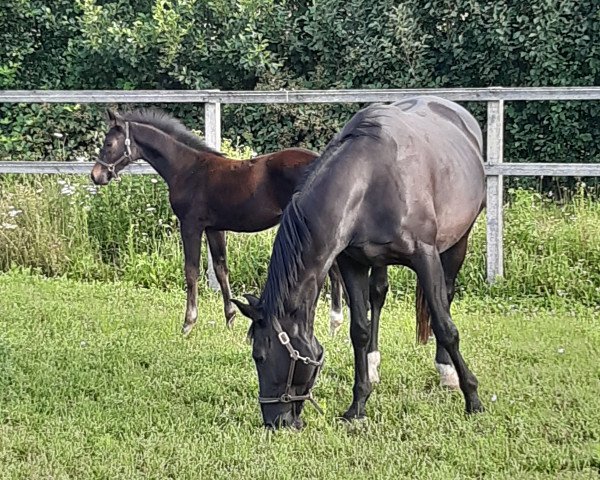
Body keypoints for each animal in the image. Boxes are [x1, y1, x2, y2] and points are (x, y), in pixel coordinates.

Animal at [92, 109, 346, 336]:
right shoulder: (215, 228)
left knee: (332, 268)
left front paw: (188, 324)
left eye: (108, 144)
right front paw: (230, 318)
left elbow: (191, 270)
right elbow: (221, 268)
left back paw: (334, 323)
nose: (96, 176)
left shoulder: (191, 225)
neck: (186, 169)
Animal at [234, 96, 488, 428]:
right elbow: (359, 330)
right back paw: (374, 364)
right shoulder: (352, 264)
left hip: (458, 242)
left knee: (445, 296)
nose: (275, 421)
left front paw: (473, 397)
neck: (370, 180)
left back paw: (446, 371)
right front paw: (357, 405)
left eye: (260, 356)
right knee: (378, 296)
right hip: (378, 261)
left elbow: (446, 326)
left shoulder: (425, 256)